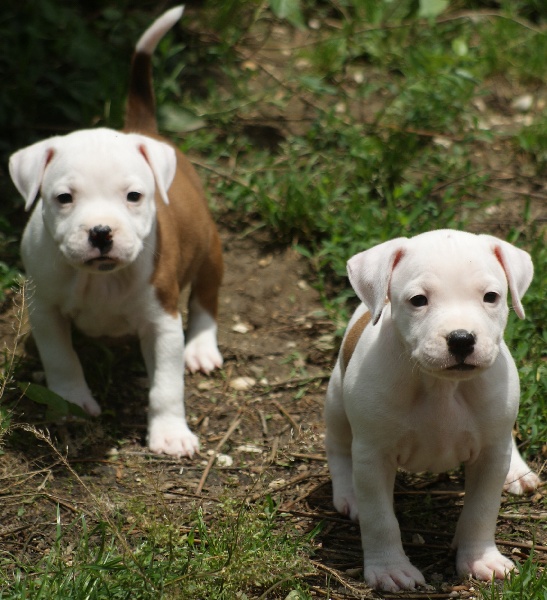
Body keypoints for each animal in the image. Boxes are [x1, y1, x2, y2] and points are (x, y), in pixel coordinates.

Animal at [9, 4, 223, 458]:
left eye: (134, 196)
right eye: (64, 198)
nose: (101, 232)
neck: (98, 280)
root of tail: (144, 131)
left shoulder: (162, 322)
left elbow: (166, 386)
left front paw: (170, 433)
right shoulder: (44, 309)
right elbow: (61, 359)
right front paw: (72, 402)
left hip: (211, 250)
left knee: (205, 299)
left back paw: (200, 347)